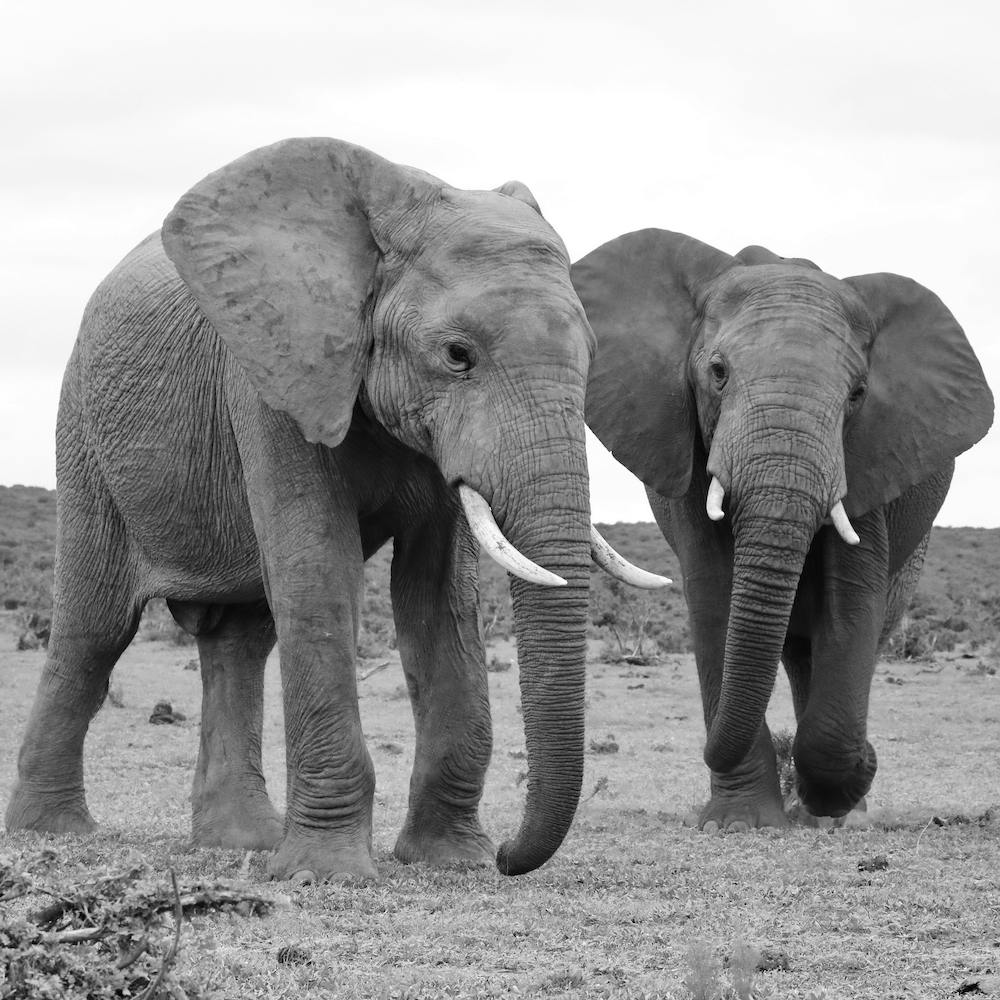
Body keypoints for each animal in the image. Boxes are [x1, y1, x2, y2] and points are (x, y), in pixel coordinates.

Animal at [5, 138, 666, 881]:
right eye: (457, 355)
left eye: (593, 356)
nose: (506, 856)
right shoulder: (275, 374)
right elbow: (321, 569)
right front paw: (325, 874)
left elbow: (440, 594)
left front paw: (449, 861)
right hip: (85, 434)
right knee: (93, 629)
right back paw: (54, 832)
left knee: (241, 639)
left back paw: (242, 843)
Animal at [572, 229, 994, 830]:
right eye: (718, 372)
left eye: (858, 394)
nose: (872, 757)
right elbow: (714, 596)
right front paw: (736, 825)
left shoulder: (866, 458)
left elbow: (853, 602)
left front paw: (841, 792)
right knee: (797, 654)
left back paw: (837, 815)